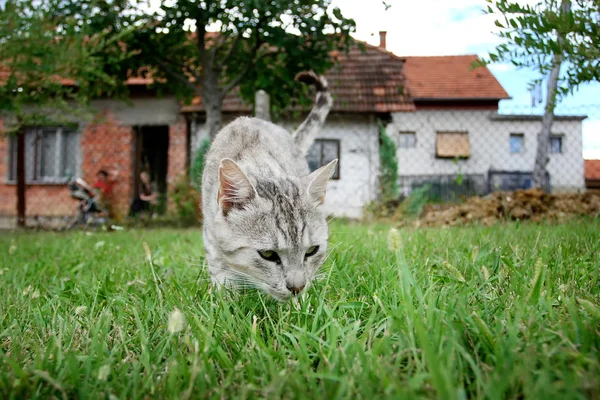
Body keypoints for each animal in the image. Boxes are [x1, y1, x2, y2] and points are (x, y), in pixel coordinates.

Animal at [199, 72, 336, 300]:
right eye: (268, 254)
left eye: (311, 251)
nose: (297, 287)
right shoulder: (211, 235)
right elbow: (221, 270)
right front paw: (227, 300)